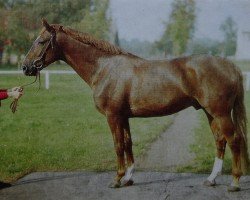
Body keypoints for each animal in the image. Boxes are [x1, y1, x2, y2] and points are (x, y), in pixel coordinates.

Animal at [22, 19, 248, 191]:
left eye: (41, 41)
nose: (25, 67)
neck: (104, 68)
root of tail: (230, 65)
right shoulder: (123, 117)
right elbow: (128, 143)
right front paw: (129, 177)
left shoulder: (113, 116)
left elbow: (118, 145)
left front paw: (117, 179)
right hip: (210, 113)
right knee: (220, 141)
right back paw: (211, 179)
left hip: (221, 113)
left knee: (234, 140)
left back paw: (235, 182)